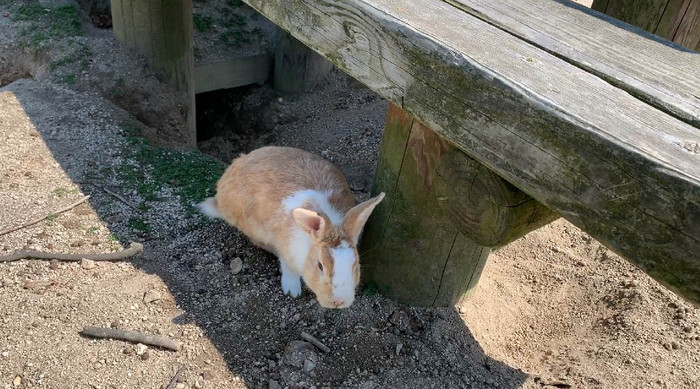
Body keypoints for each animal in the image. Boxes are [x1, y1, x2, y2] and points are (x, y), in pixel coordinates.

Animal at [197, 146, 386, 310]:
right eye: (320, 266)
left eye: (355, 265)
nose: (338, 302)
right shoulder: (286, 250)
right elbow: (288, 267)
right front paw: (292, 290)